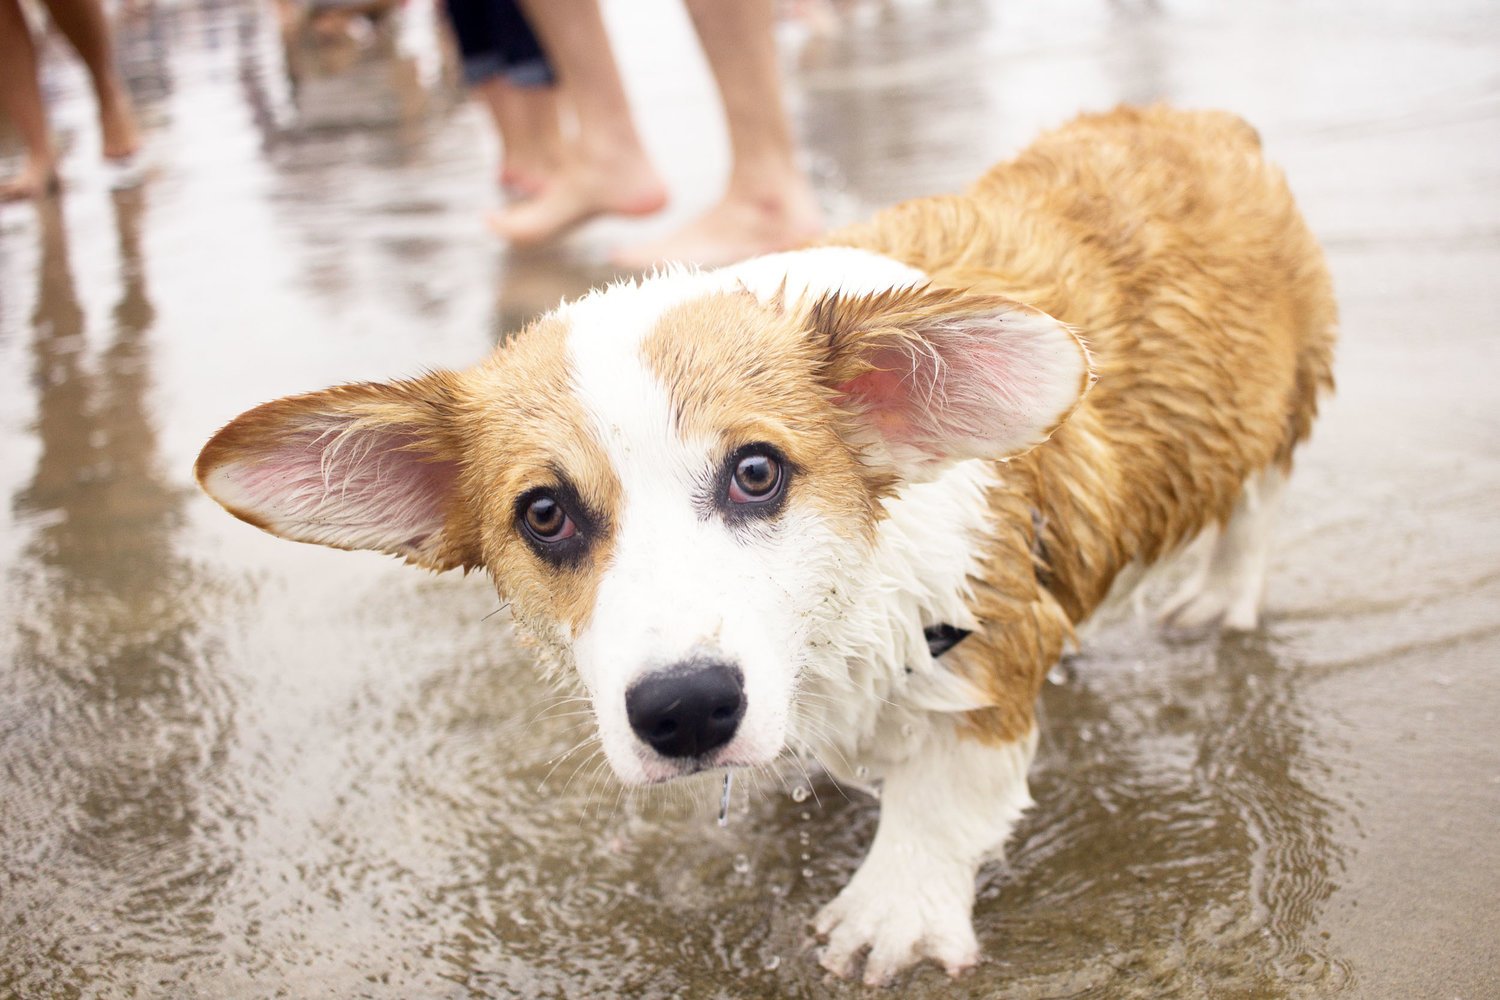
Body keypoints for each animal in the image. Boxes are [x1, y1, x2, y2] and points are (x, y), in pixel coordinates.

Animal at [193, 105, 1332, 983]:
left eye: (756, 472)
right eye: (544, 515)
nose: (687, 710)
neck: (844, 613)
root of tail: (1203, 122)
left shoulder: (988, 637)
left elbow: (944, 797)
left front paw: (890, 916)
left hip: (1270, 408)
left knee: (1257, 502)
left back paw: (1219, 599)